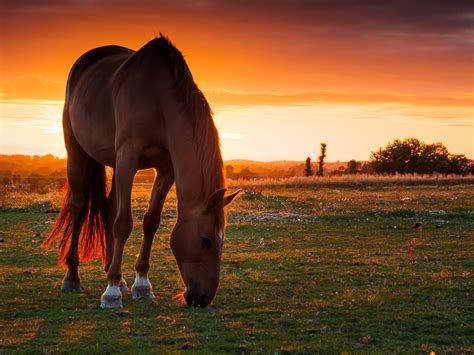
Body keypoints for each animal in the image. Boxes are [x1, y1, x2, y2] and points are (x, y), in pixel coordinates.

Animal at [43, 34, 241, 310]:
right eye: (206, 240)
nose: (203, 298)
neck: (158, 99)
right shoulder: (128, 158)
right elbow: (124, 224)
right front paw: (111, 292)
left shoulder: (166, 169)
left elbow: (150, 221)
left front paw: (141, 284)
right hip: (78, 153)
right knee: (79, 207)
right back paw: (73, 278)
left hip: (114, 163)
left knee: (108, 208)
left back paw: (115, 275)